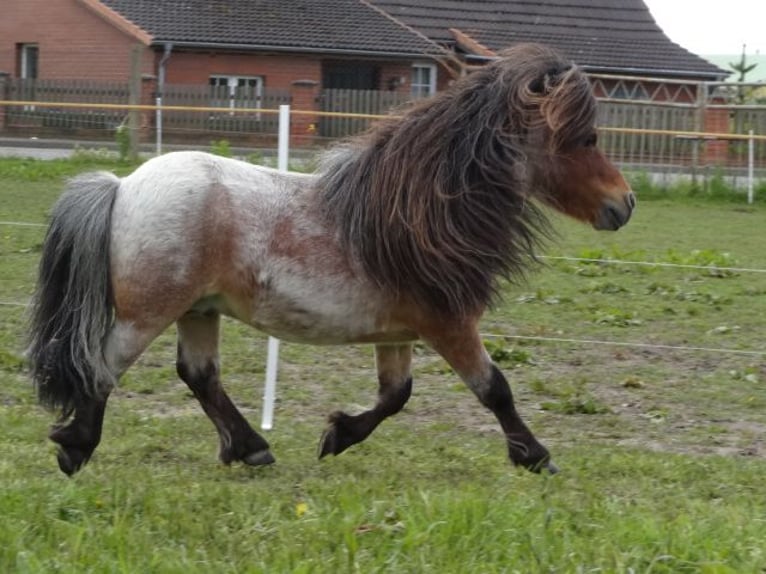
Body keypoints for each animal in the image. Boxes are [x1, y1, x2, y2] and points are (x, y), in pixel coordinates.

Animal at [27, 44, 636, 476]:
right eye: (586, 138)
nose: (625, 203)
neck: (417, 214)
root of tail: (122, 185)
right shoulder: (450, 324)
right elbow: (495, 389)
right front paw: (536, 455)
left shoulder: (401, 332)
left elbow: (396, 396)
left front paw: (338, 435)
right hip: (148, 313)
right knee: (104, 365)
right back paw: (75, 448)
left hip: (198, 310)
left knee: (198, 375)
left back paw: (249, 448)